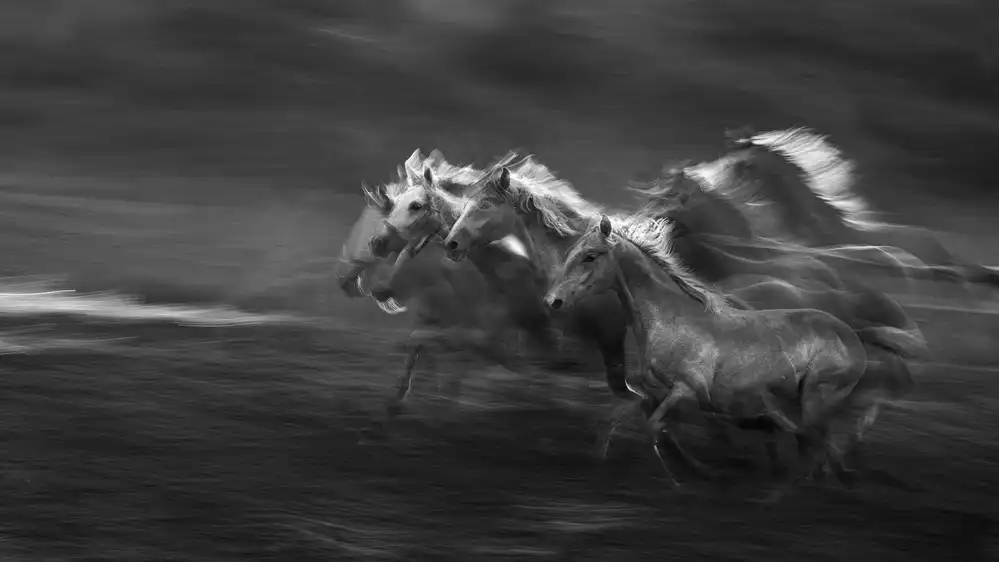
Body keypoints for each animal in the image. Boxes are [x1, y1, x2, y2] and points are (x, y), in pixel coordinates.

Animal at [543, 214, 910, 499]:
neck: (671, 319)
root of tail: (853, 335)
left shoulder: (686, 391)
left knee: (816, 445)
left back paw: (783, 495)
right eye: (571, 253)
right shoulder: (652, 392)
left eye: (590, 256)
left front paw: (679, 479)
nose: (553, 301)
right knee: (816, 446)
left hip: (816, 399)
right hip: (799, 402)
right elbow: (625, 419)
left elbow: (654, 427)